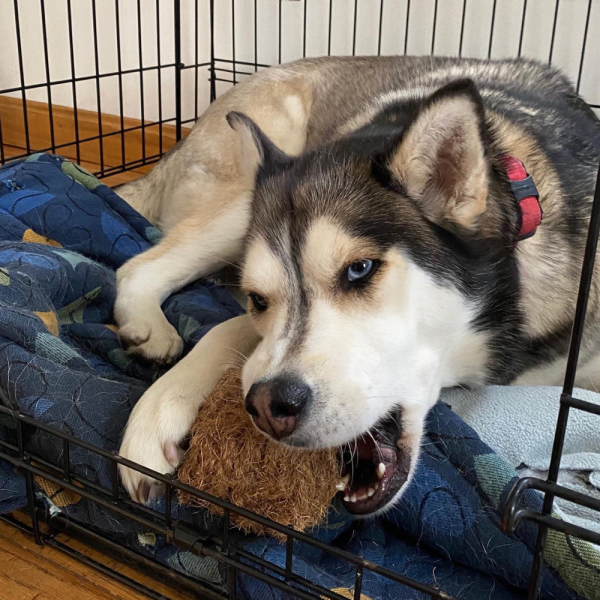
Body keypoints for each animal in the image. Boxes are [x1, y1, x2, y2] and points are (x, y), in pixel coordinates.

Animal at [116, 56, 600, 516]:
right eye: (259, 299)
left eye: (360, 269)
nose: (269, 407)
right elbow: (226, 329)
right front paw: (161, 408)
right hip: (237, 207)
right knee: (135, 268)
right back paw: (146, 324)